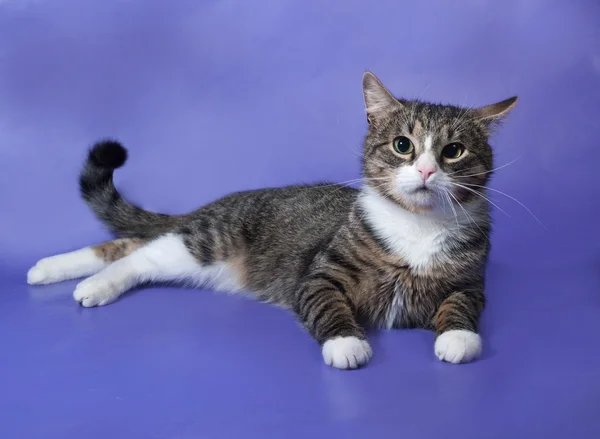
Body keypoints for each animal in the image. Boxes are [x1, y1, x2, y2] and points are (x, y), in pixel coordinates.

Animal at [27, 74, 516, 370]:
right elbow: (327, 303)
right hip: (209, 241)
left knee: (134, 244)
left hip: (199, 256)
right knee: (141, 254)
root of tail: (215, 205)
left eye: (453, 151)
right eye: (402, 145)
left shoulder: (471, 280)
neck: (418, 227)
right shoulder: (318, 275)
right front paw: (347, 344)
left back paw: (50, 269)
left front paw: (458, 339)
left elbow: (462, 305)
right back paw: (84, 282)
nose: (427, 171)